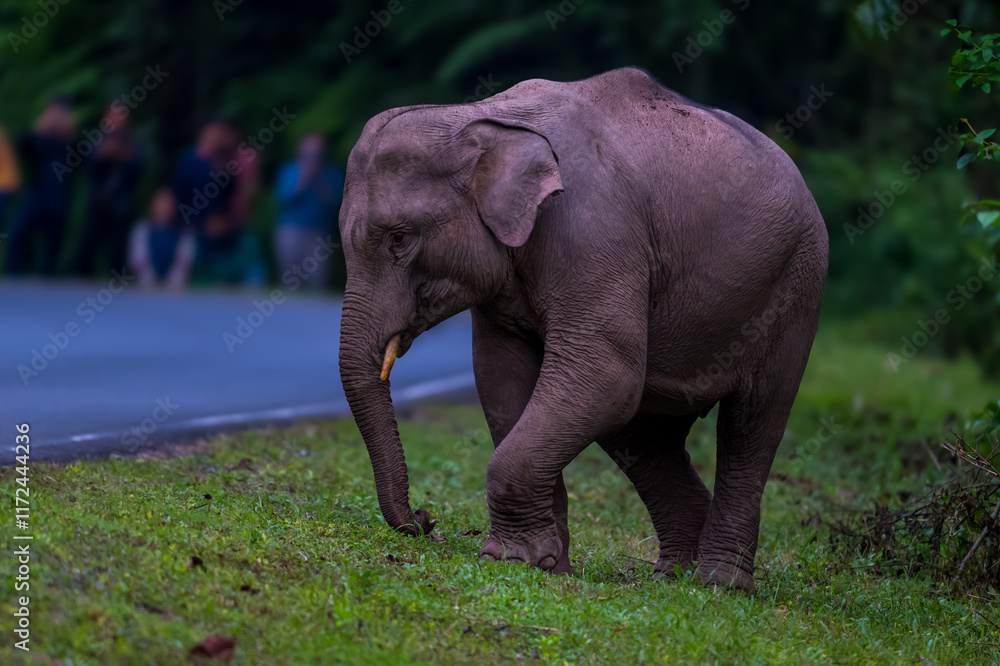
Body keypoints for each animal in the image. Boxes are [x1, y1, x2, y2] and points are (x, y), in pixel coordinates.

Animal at [338, 67, 827, 591]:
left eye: (399, 238)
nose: (426, 520)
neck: (478, 117)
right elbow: (502, 379)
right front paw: (544, 566)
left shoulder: (594, 232)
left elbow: (602, 371)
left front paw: (510, 560)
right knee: (641, 435)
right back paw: (673, 577)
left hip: (796, 284)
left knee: (751, 423)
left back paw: (719, 584)